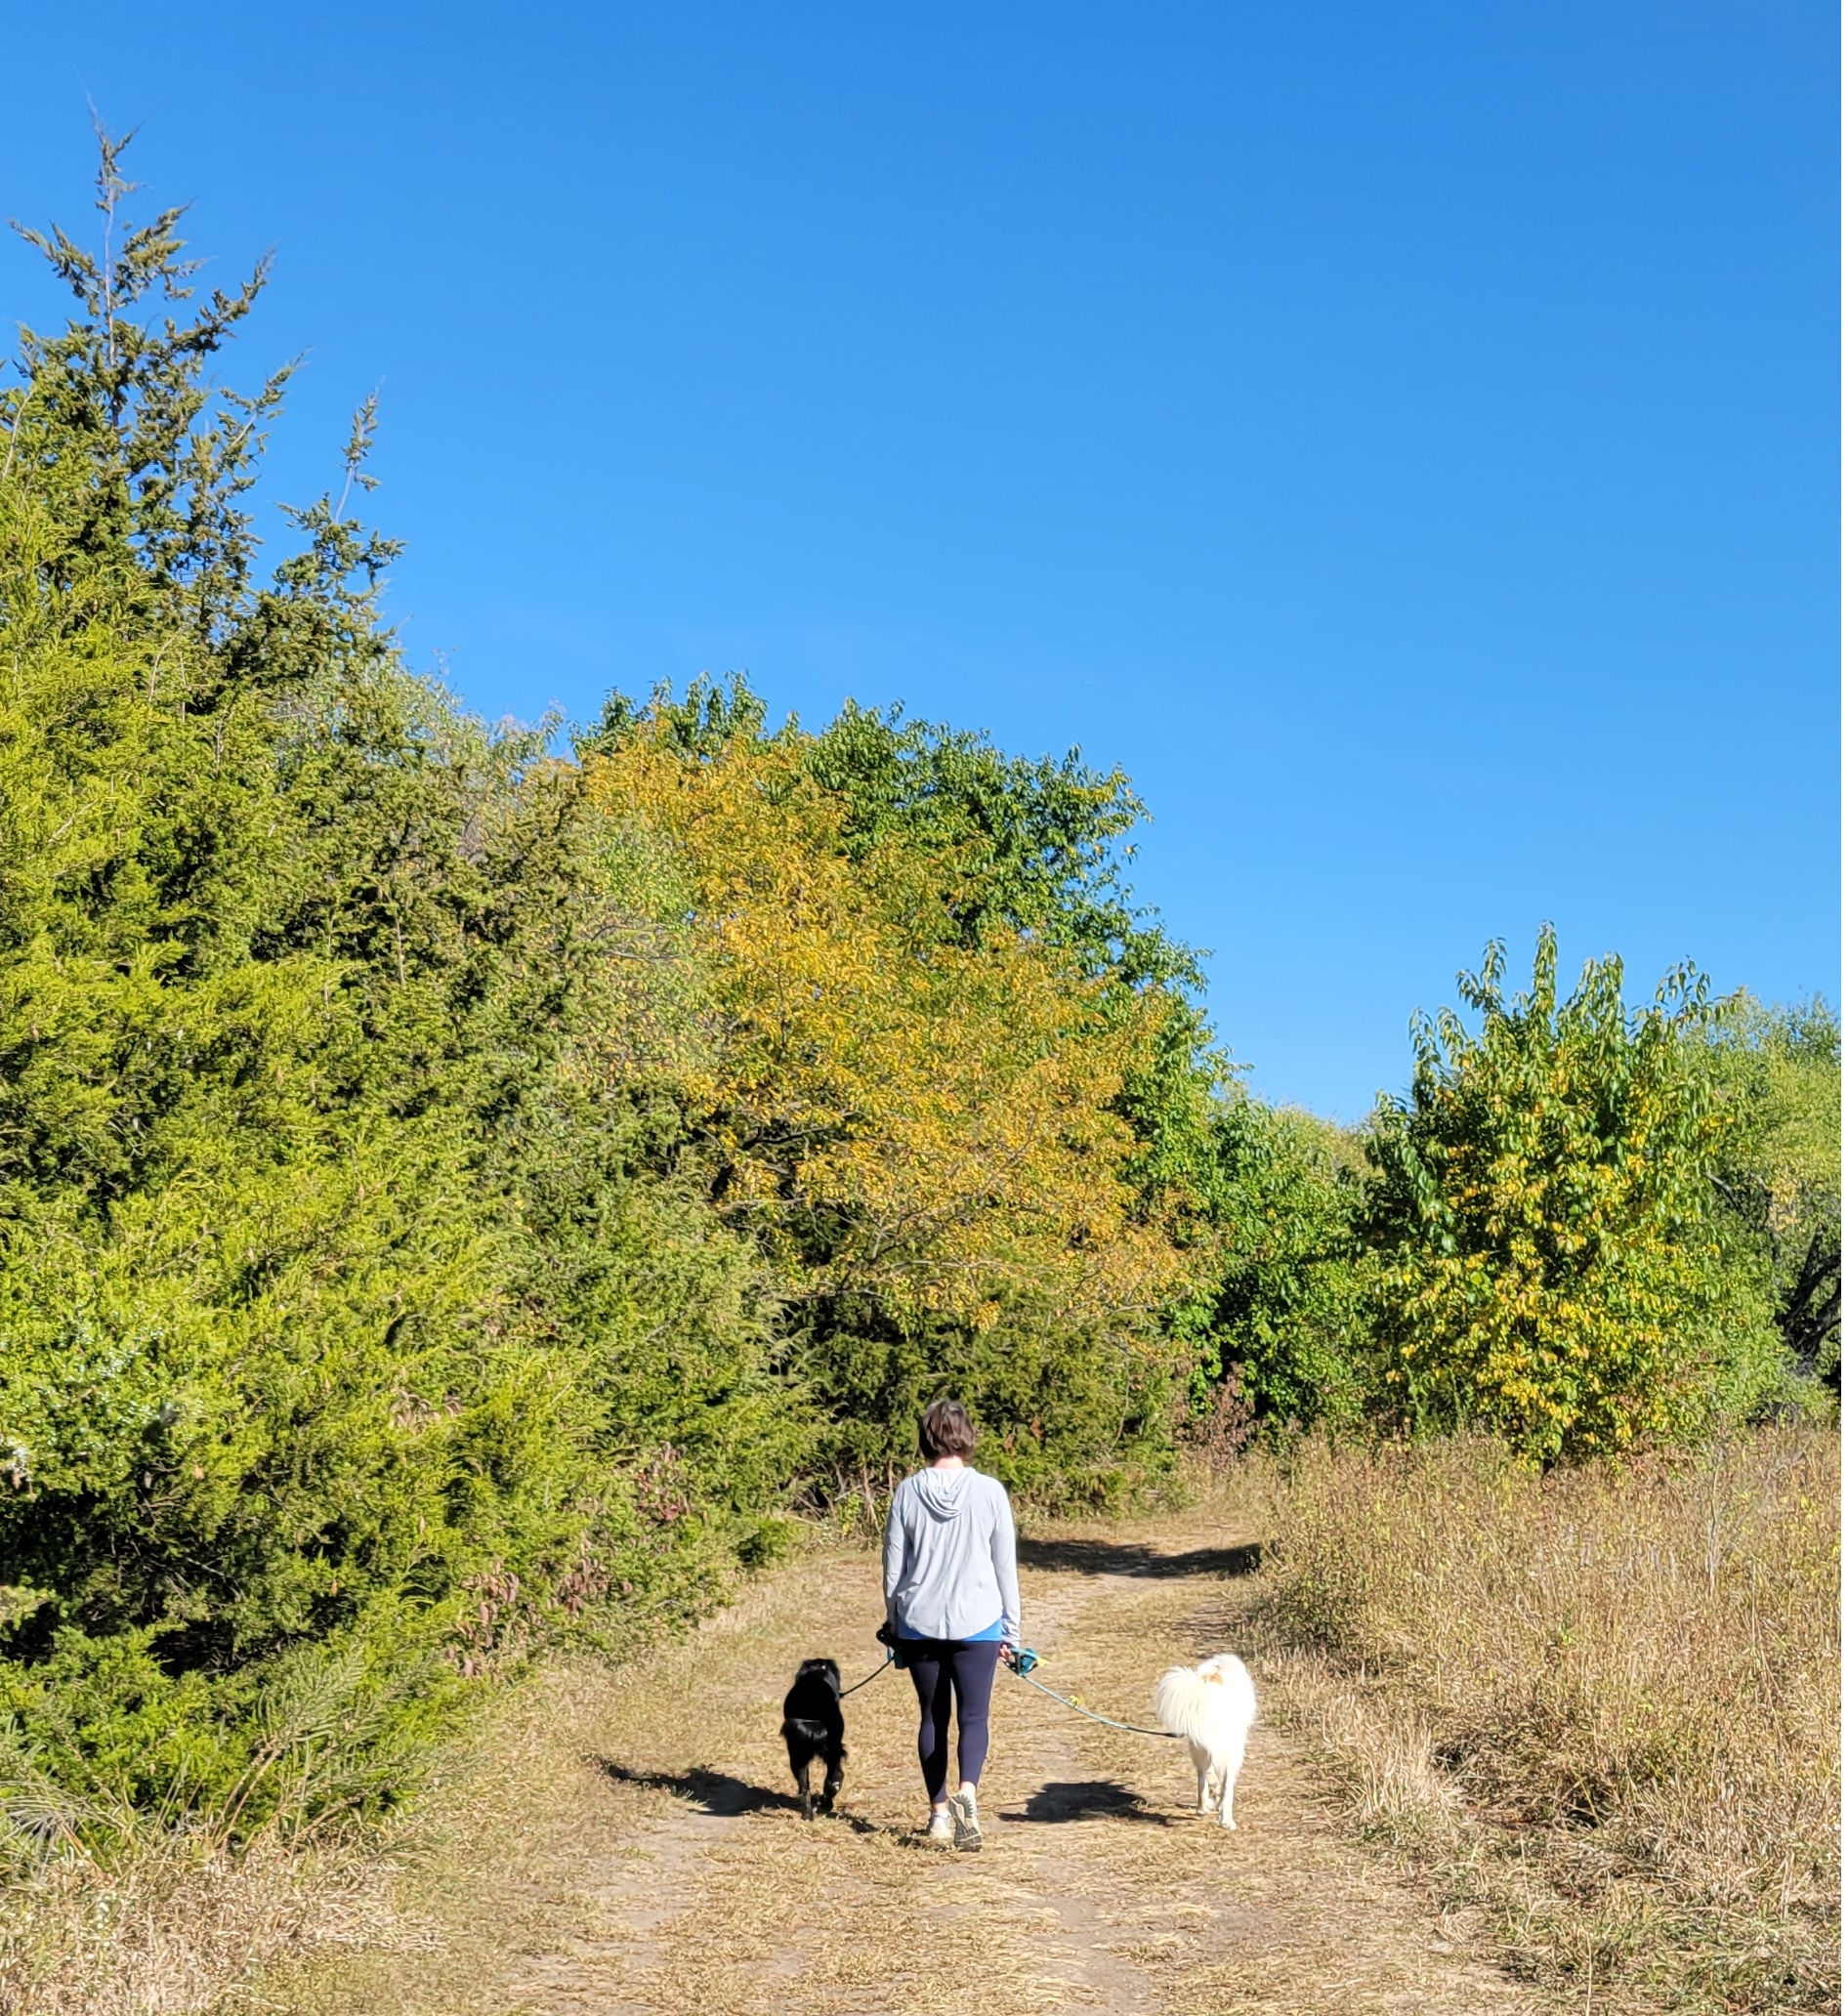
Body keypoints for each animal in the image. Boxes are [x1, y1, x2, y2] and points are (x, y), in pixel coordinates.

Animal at [1153, 1653, 1257, 1830]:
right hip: (1231, 1750)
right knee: (1225, 1786)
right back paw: (1227, 1820)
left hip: (1199, 1747)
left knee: (1202, 1777)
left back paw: (1202, 1807)